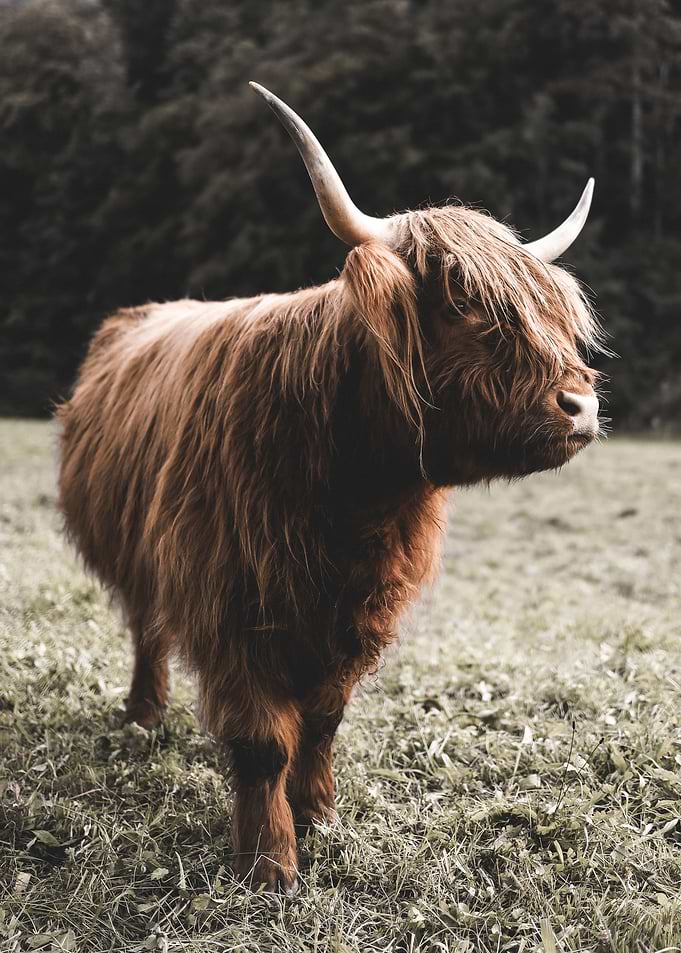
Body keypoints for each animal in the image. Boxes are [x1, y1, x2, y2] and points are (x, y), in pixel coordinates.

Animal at [57, 82, 602, 894]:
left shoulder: (360, 607)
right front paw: (269, 863)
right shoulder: (233, 601)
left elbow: (323, 717)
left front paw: (318, 814)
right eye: (460, 304)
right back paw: (144, 713)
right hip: (141, 554)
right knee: (147, 628)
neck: (353, 494)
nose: (580, 405)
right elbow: (262, 740)